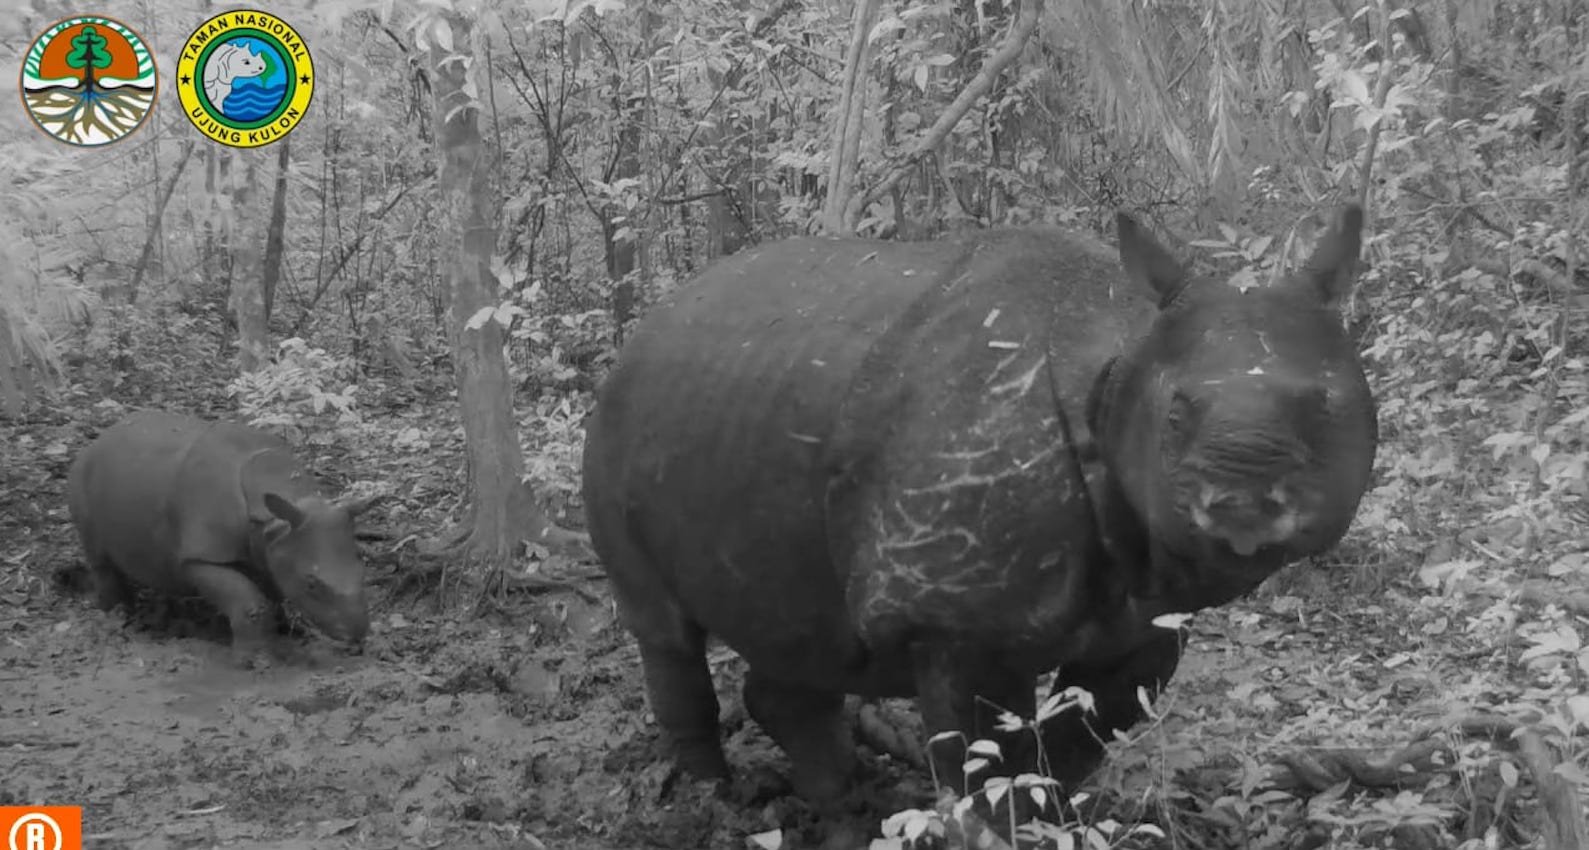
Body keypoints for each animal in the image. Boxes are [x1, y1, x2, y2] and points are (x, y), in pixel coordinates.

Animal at [69, 409, 375, 664]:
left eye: (362, 565)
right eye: (311, 584)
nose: (358, 633)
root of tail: (98, 439)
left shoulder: (273, 545)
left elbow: (273, 592)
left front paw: (285, 635)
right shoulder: (201, 555)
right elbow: (249, 601)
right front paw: (253, 662)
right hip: (81, 478)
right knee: (100, 559)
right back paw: (117, 619)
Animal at [584, 206, 1379, 803]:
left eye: (1323, 406)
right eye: (1176, 412)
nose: (1242, 500)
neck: (1117, 369)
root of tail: (649, 323)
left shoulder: (1147, 616)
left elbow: (1073, 747)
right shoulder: (951, 623)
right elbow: (987, 768)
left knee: (803, 634)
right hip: (616, 423)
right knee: (665, 629)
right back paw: (710, 800)